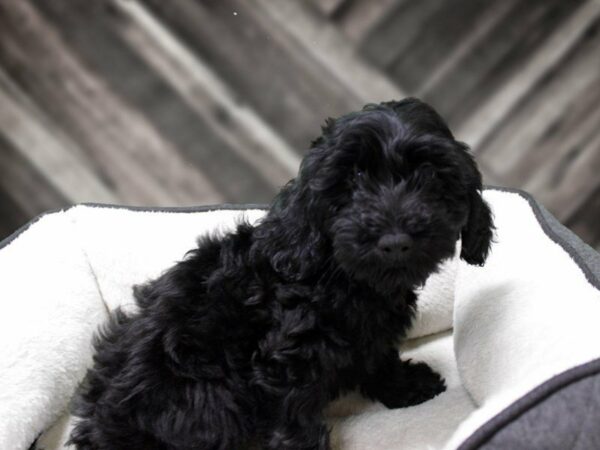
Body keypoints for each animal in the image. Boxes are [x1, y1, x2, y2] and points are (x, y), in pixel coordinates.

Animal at [69, 98, 492, 450]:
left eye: (431, 175)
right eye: (352, 179)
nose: (395, 241)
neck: (340, 276)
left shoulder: (370, 336)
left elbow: (379, 359)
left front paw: (407, 386)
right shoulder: (286, 362)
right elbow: (295, 423)